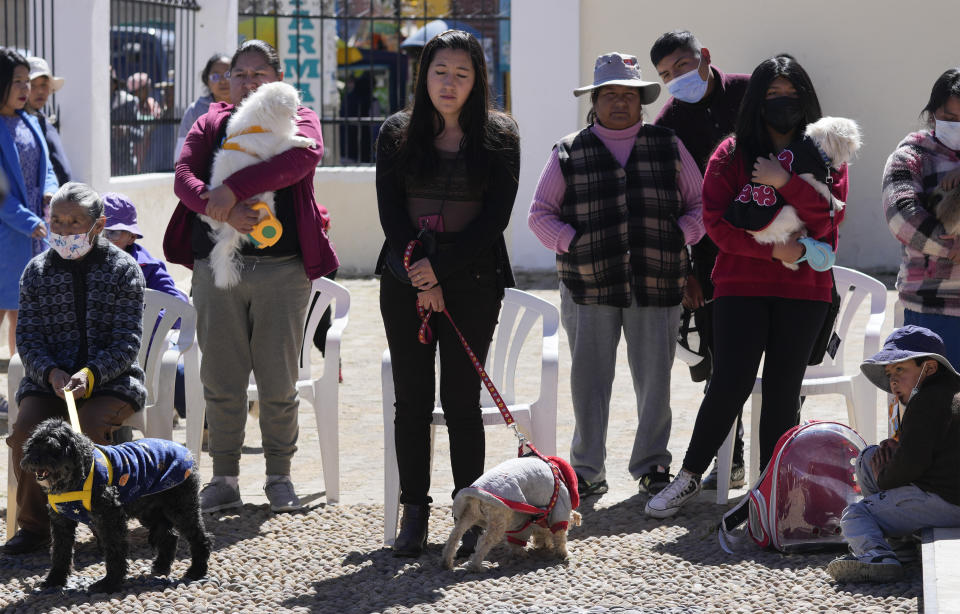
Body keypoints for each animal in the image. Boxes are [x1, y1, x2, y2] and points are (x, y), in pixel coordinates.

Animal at [19, 422, 211, 596]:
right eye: (33, 445)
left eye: (52, 447)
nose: (32, 460)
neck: (75, 479)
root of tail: (186, 451)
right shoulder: (61, 523)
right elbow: (60, 553)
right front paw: (54, 580)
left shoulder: (109, 519)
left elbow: (114, 551)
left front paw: (109, 584)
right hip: (149, 510)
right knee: (169, 536)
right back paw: (161, 566)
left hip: (181, 507)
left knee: (200, 538)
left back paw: (196, 571)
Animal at [440, 458, 576, 572]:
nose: (544, 546)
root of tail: (476, 492)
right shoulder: (560, 505)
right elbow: (560, 535)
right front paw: (564, 553)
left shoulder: (520, 520)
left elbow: (517, 540)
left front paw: (520, 553)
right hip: (499, 517)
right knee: (484, 541)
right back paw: (476, 566)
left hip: (468, 514)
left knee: (454, 537)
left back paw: (446, 562)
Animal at [728, 115, 864, 270]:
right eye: (850, 136)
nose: (857, 143)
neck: (815, 149)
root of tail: (754, 234)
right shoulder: (806, 175)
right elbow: (823, 187)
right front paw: (836, 202)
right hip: (789, 212)